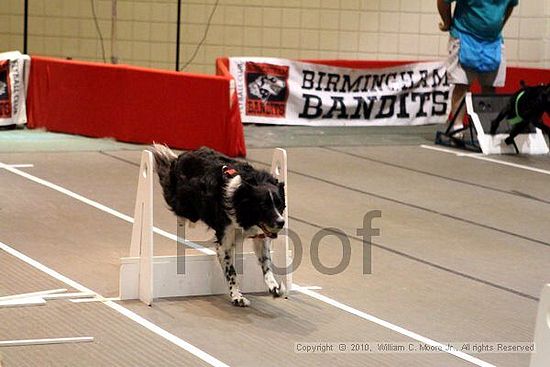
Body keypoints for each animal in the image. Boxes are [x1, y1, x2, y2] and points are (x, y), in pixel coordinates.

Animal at [152, 145, 286, 306]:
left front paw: (274, 287)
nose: (281, 222)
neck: (240, 197)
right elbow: (231, 272)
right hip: (185, 205)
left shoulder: (261, 237)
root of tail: (184, 155)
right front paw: (237, 296)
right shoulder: (224, 243)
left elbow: (266, 264)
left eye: (279, 204)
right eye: (263, 206)